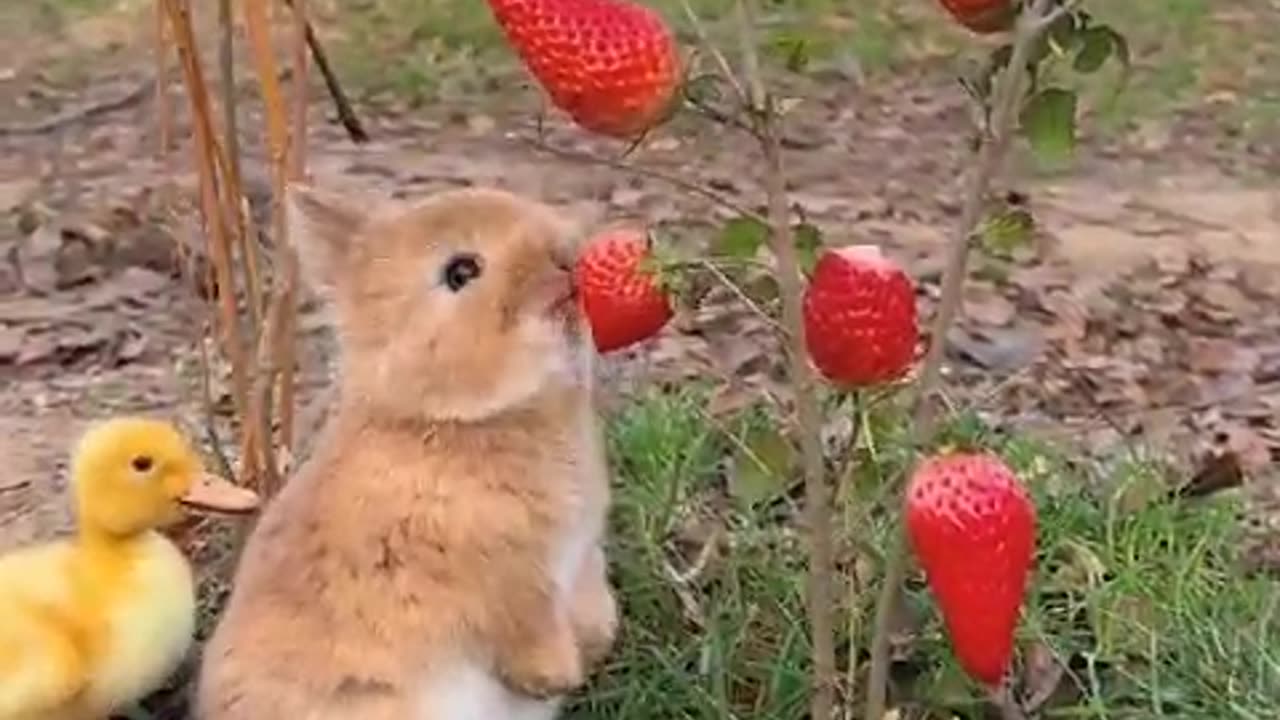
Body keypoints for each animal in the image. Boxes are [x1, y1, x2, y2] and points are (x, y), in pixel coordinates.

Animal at [194, 181, 619, 712]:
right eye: (461, 271)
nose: (566, 257)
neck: (444, 421)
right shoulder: (502, 583)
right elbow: (522, 625)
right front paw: (556, 676)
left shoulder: (578, 556)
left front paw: (598, 637)